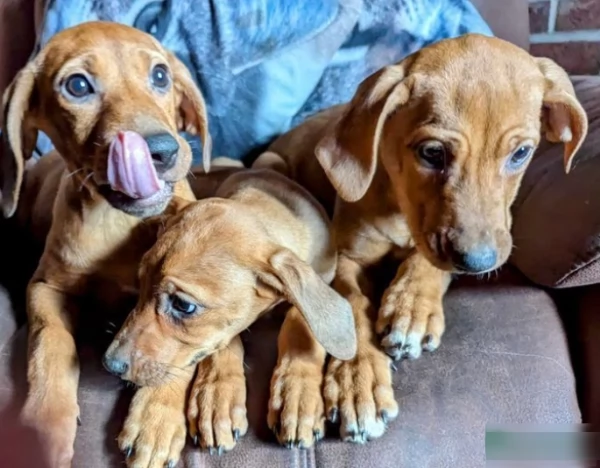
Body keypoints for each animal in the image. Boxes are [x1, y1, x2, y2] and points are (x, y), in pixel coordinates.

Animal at [0, 21, 220, 468]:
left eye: (160, 75)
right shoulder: (45, 287)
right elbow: (49, 341)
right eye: (78, 85)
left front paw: (156, 415)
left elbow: (179, 346)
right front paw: (46, 422)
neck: (119, 225)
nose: (162, 151)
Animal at [103, 168, 358, 450]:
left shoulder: (321, 278)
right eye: (141, 283)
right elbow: (223, 341)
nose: (109, 365)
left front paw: (296, 392)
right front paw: (216, 395)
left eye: (183, 305)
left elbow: (299, 317)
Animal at [252, 34, 584, 444]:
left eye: (521, 153)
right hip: (270, 165)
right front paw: (357, 383)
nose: (479, 263)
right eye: (432, 152)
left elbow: (429, 259)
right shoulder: (346, 259)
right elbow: (355, 304)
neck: (400, 210)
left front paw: (412, 306)